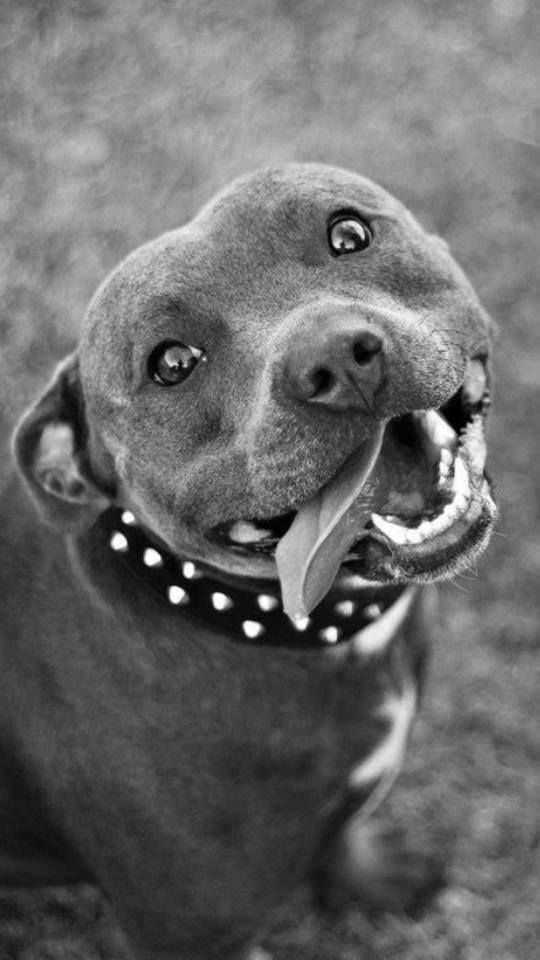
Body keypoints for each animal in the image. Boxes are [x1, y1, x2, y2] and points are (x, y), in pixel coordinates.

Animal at [0, 167, 496, 960]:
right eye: (172, 363)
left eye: (349, 232)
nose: (336, 357)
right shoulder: (189, 931)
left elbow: (342, 836)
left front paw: (370, 879)